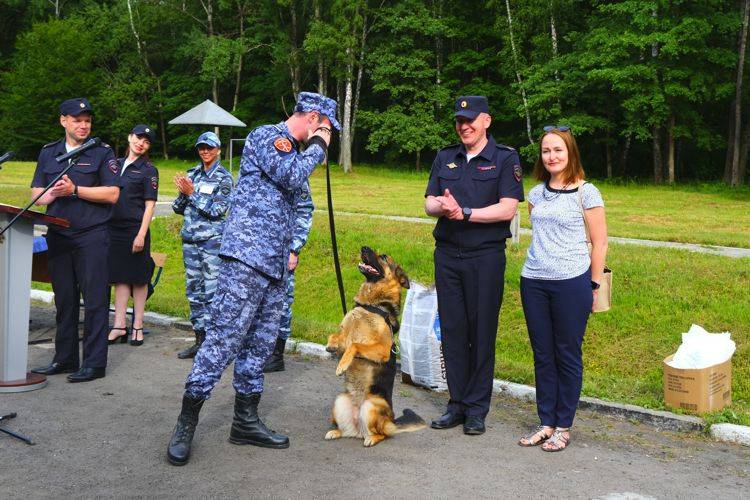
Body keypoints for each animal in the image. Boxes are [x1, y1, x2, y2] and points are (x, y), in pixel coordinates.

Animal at [324, 246, 426, 446]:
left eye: (384, 257)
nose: (363, 247)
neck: (371, 304)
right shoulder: (344, 338)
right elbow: (335, 337)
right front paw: (331, 347)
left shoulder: (382, 350)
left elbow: (355, 345)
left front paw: (342, 366)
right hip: (339, 401)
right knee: (347, 430)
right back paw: (336, 432)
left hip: (371, 406)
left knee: (383, 434)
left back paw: (372, 438)